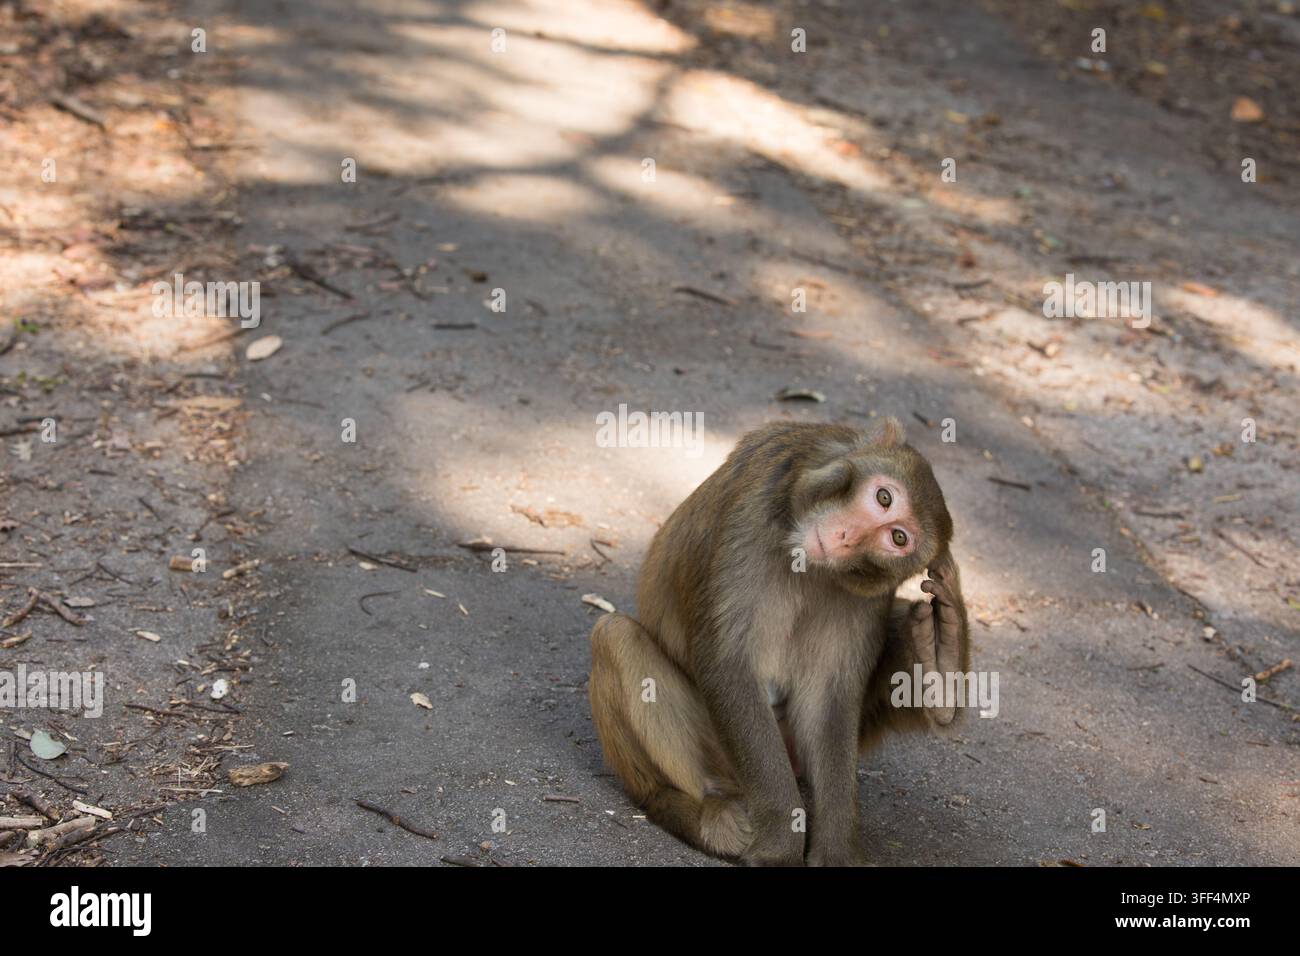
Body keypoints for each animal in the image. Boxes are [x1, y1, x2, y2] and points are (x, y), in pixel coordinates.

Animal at [588, 418, 968, 866]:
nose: (846, 536)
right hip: (721, 755)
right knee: (617, 636)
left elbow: (830, 697)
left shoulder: (868, 595)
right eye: (884, 497)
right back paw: (694, 812)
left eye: (897, 538)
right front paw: (778, 847)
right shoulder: (753, 504)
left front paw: (836, 851)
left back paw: (941, 670)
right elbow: (728, 664)